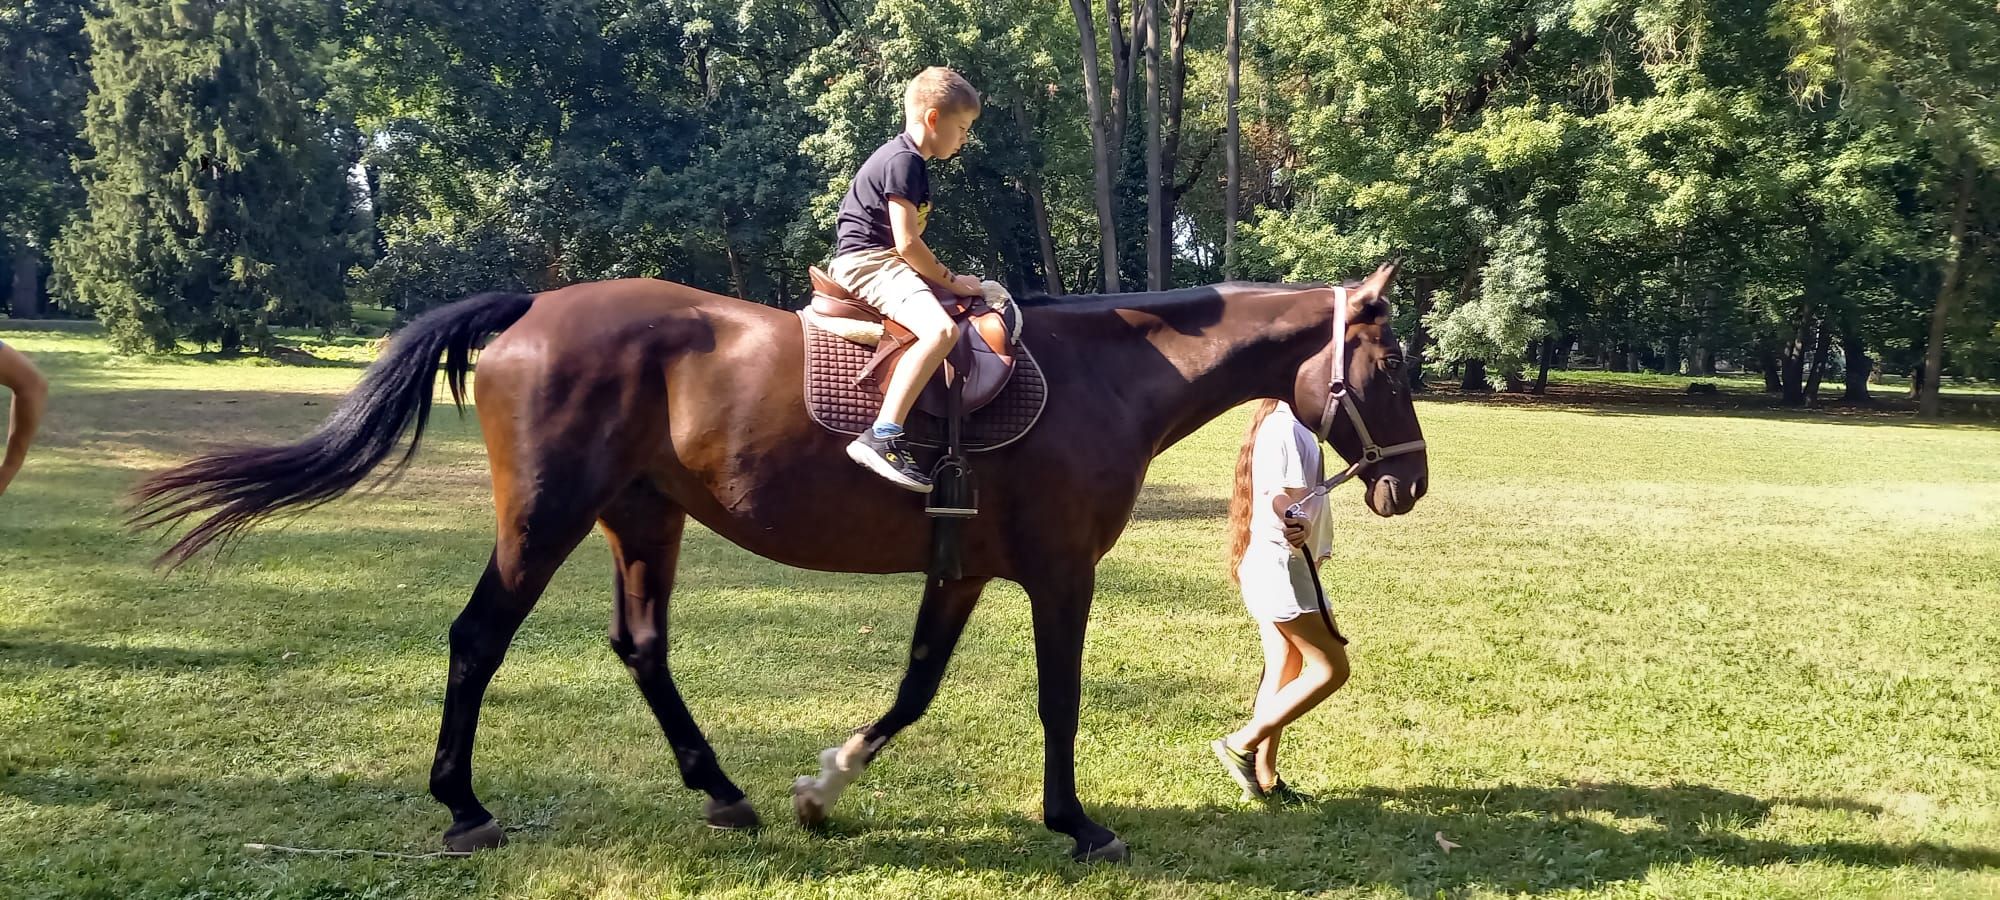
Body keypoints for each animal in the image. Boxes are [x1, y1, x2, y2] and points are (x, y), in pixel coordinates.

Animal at [131, 261, 1428, 862]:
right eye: (1388, 363)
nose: (1408, 482)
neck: (1104, 374)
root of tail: (533, 305)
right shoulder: (1061, 573)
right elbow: (1056, 703)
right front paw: (1075, 823)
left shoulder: (960, 570)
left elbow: (913, 690)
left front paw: (824, 783)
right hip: (545, 521)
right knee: (478, 639)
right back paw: (463, 804)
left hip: (641, 521)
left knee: (640, 648)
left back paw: (724, 790)